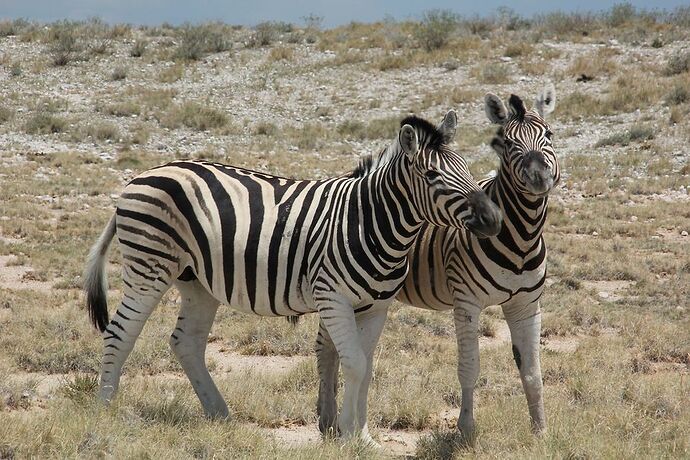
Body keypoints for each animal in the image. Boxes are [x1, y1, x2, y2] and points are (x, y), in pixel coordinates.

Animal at [82, 109, 500, 444]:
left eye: (466, 168)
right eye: (432, 175)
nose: (494, 220)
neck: (371, 221)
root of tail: (145, 173)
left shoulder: (376, 307)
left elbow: (366, 368)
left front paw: (361, 434)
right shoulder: (333, 297)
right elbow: (354, 363)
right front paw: (349, 436)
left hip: (195, 281)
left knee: (186, 342)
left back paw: (220, 414)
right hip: (150, 264)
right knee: (120, 333)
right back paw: (105, 411)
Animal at [312, 84, 560, 440]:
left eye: (549, 135)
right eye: (507, 143)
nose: (539, 178)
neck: (521, 238)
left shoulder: (526, 304)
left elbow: (532, 372)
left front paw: (540, 431)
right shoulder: (467, 302)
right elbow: (469, 368)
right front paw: (466, 429)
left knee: (333, 349)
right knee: (324, 347)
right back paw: (326, 417)